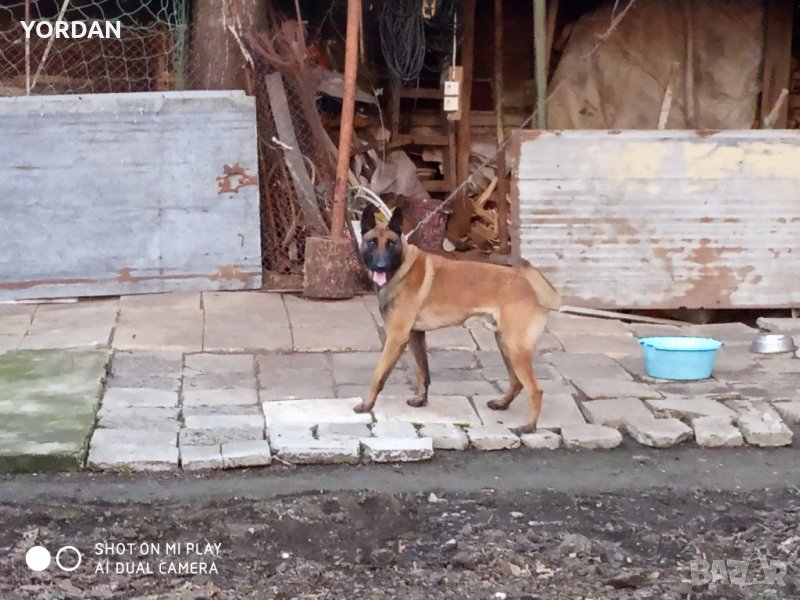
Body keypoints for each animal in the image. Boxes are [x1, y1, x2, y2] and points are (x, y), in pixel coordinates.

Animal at [354, 205, 561, 433]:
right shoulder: (415, 335)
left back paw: (529, 426)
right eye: (372, 242)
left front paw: (367, 404)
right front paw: (421, 400)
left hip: (514, 348)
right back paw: (502, 404)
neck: (401, 268)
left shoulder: (395, 338)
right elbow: (422, 371)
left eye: (391, 244)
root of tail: (529, 287)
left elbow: (378, 375)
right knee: (517, 382)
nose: (380, 266)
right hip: (505, 344)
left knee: (535, 389)